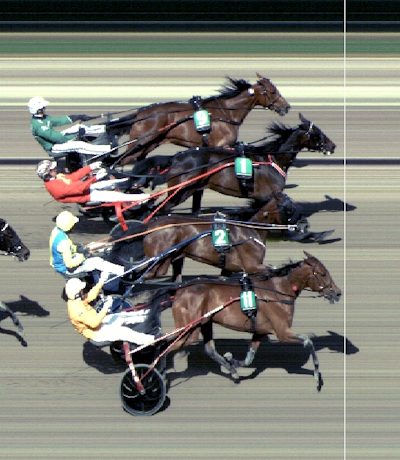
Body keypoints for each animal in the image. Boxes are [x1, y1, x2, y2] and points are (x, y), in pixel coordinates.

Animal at [105, 73, 290, 165]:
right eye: (272, 91)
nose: (287, 107)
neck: (226, 113)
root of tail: (140, 113)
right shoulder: (221, 146)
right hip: (138, 144)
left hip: (147, 146)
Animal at [107, 192, 299, 281]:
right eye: (288, 208)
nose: (300, 226)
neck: (250, 231)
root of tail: (149, 226)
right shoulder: (252, 266)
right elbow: (272, 270)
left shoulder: (229, 268)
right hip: (159, 258)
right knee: (143, 273)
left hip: (171, 257)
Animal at [149, 251, 341, 391]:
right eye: (323, 274)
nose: (338, 293)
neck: (278, 291)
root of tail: (179, 291)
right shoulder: (283, 332)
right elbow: (308, 342)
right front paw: (317, 377)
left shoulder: (260, 331)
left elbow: (249, 357)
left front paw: (233, 361)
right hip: (189, 331)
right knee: (164, 345)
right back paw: (160, 375)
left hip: (204, 323)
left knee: (208, 349)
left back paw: (232, 372)